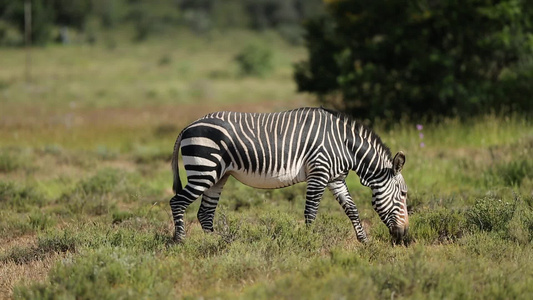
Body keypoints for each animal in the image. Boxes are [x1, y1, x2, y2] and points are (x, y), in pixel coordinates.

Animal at [169, 107, 408, 244]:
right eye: (404, 194)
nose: (404, 236)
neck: (345, 145)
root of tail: (188, 126)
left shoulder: (335, 179)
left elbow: (352, 209)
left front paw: (364, 241)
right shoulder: (319, 172)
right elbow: (311, 212)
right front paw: (308, 243)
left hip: (218, 176)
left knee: (205, 214)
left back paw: (218, 244)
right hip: (204, 171)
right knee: (177, 202)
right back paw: (180, 241)